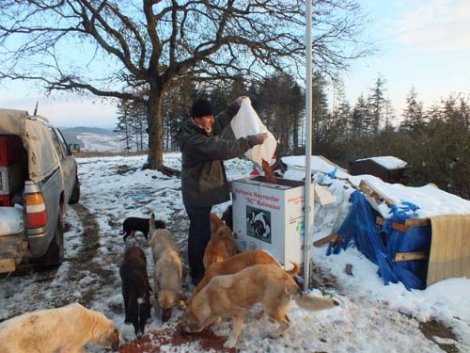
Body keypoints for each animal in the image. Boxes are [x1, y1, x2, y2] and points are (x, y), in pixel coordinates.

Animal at [179, 262, 338, 348]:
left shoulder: (239, 313)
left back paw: (274, 333)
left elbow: (235, 331)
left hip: (271, 307)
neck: (209, 300)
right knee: (288, 321)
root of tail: (290, 281)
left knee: (286, 323)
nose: (181, 334)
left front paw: (231, 343)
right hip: (274, 306)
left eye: (184, 325)